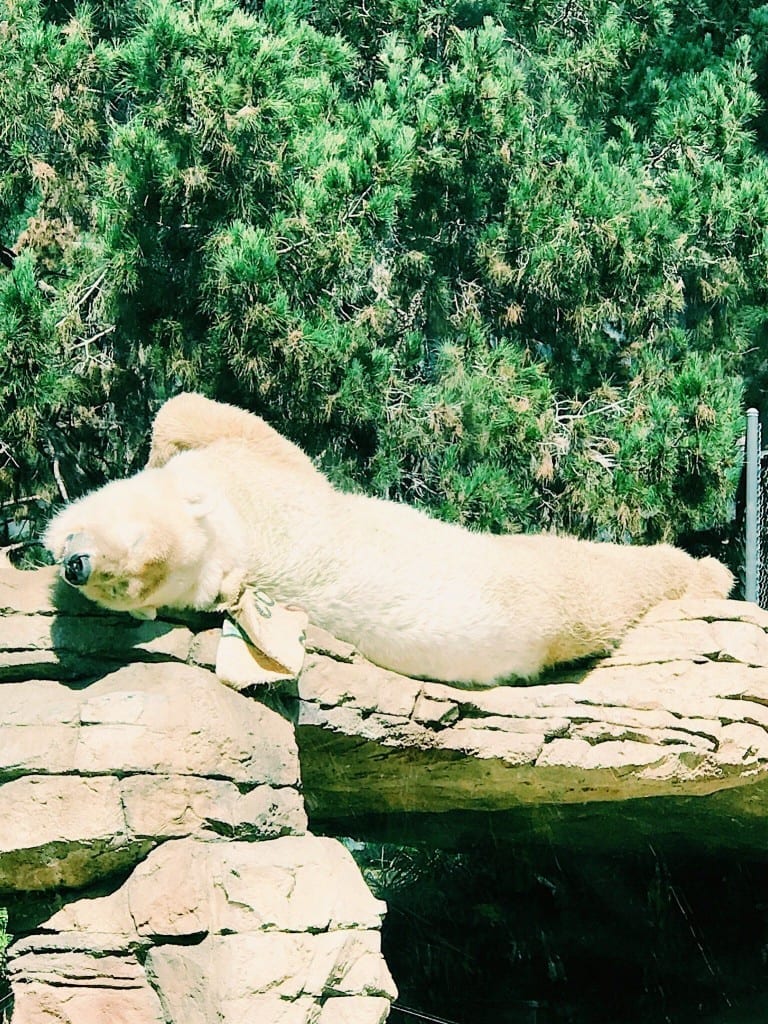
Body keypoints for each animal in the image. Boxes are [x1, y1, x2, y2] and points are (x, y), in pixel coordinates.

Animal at [43, 391, 741, 688]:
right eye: (122, 586)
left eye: (131, 546)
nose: (78, 565)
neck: (232, 538)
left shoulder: (259, 482)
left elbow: (214, 420)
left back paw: (710, 571)